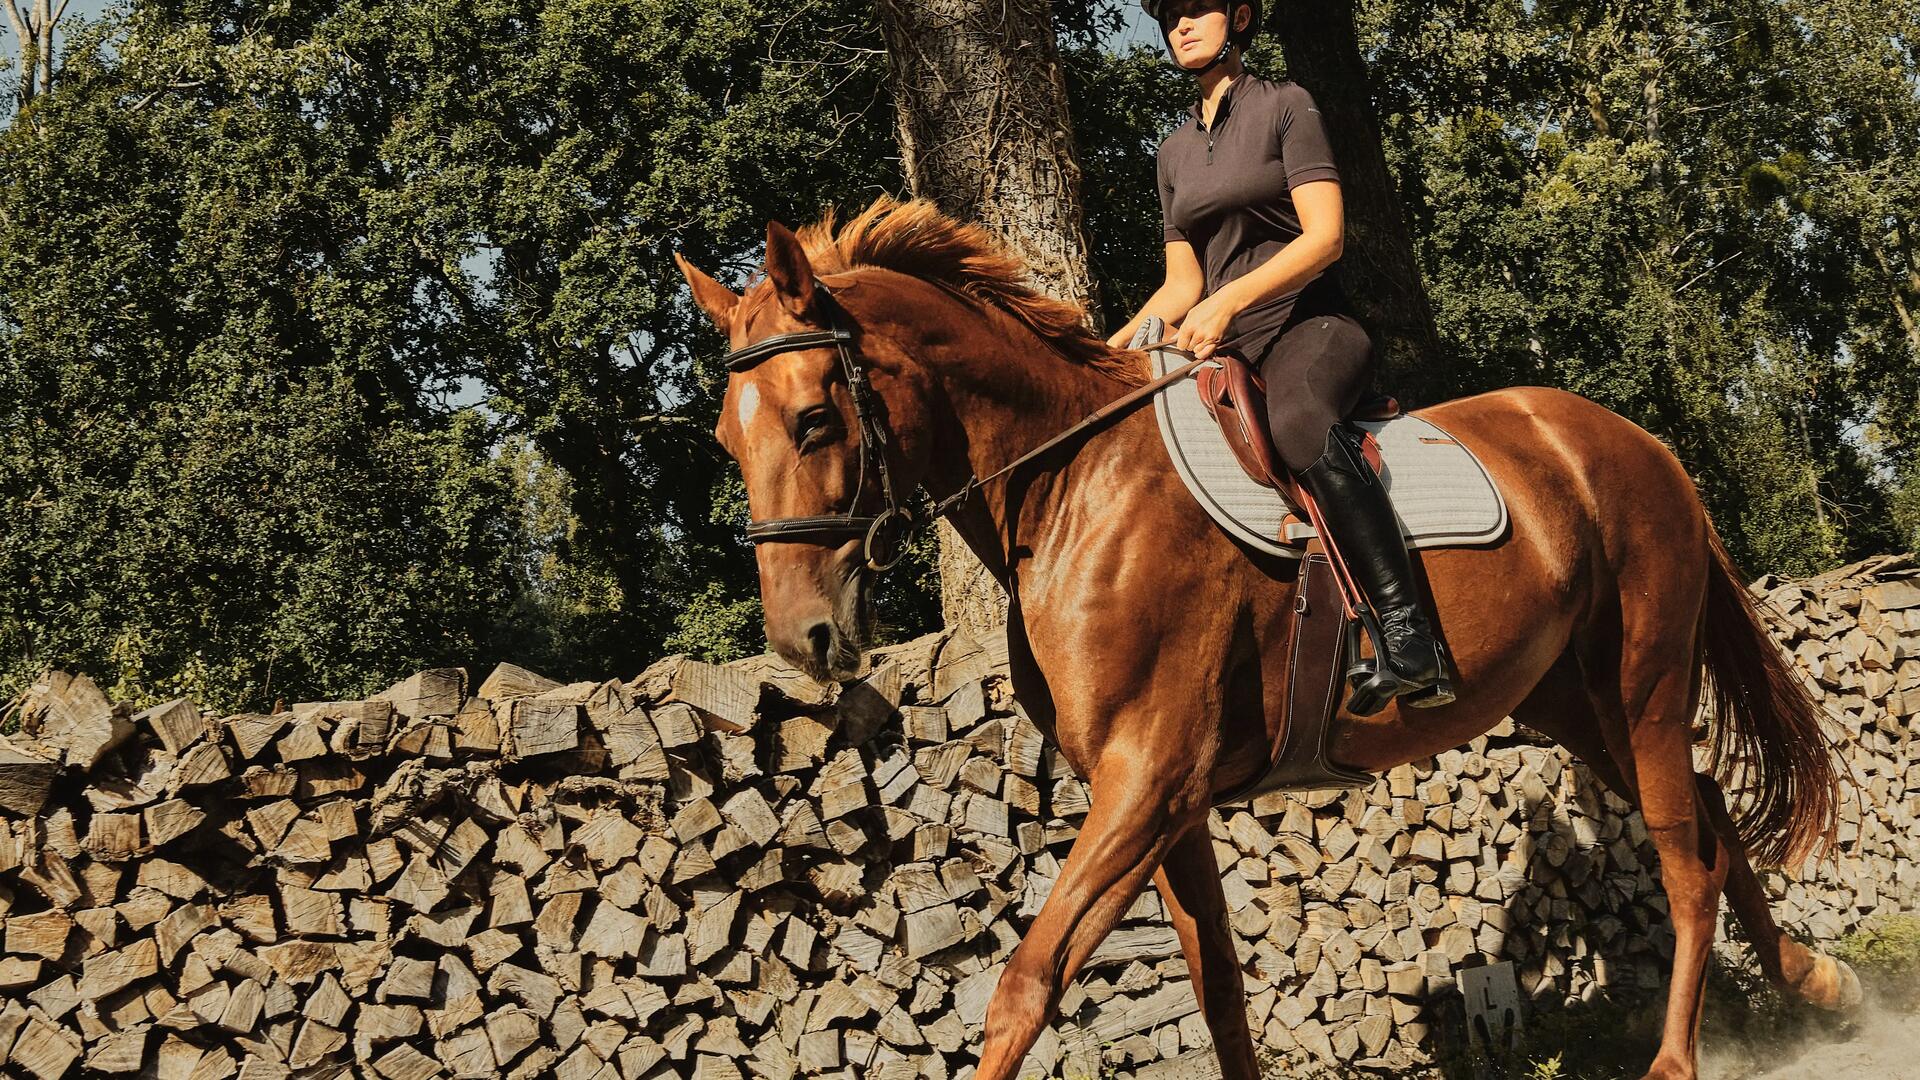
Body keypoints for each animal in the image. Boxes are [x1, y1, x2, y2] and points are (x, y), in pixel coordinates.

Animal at [679, 199, 1858, 1076]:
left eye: (815, 421)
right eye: (726, 439)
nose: (804, 640)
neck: (1071, 490)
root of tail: (1636, 443)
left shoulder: (1147, 785)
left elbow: (1024, 988)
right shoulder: (1168, 805)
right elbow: (1218, 992)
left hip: (1643, 679)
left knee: (1685, 855)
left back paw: (1682, 1055)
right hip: (1572, 699)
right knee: (1707, 816)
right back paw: (1816, 983)